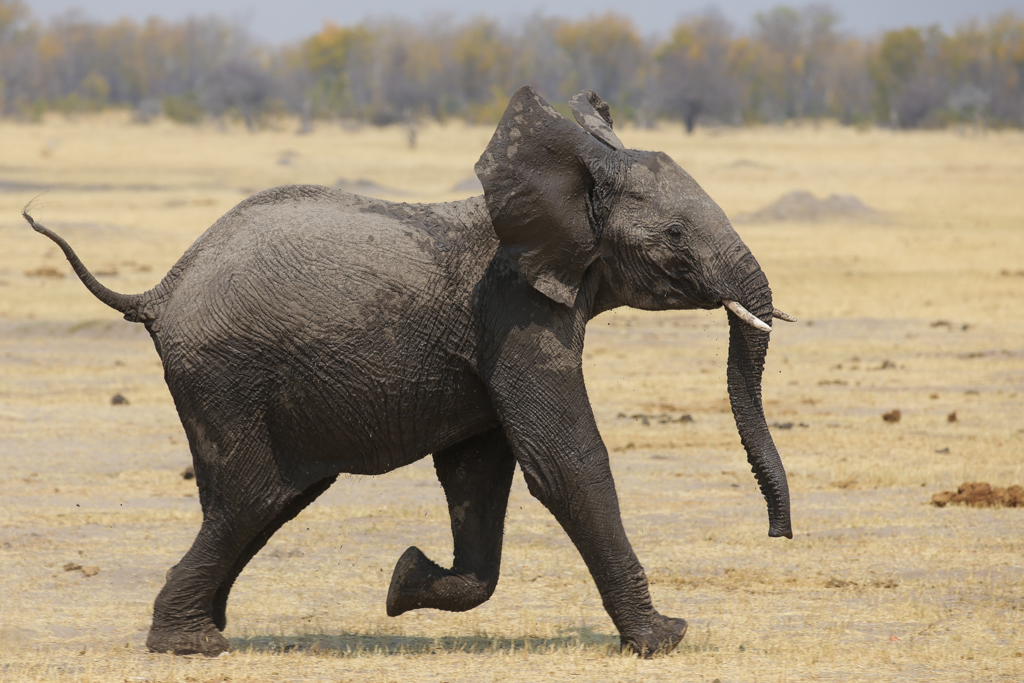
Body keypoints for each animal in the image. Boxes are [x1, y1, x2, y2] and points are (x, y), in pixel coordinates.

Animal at [22, 85, 790, 655]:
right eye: (676, 236)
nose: (779, 536)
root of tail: (159, 291)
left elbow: (478, 472)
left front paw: (403, 583)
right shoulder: (513, 314)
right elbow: (563, 460)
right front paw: (664, 638)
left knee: (264, 500)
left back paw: (208, 629)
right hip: (224, 373)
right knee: (253, 495)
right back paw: (190, 644)